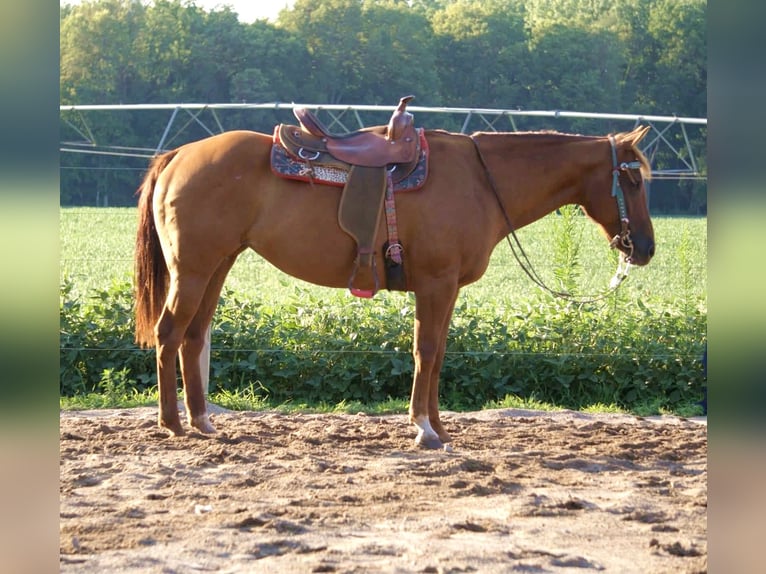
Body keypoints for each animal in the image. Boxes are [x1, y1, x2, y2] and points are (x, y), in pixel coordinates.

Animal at [134, 125, 654, 449]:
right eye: (631, 180)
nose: (645, 248)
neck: (481, 182)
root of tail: (178, 155)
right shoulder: (435, 284)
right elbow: (425, 351)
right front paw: (423, 428)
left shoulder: (448, 289)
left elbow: (439, 354)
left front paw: (440, 428)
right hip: (193, 269)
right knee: (169, 333)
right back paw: (172, 424)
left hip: (217, 266)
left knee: (194, 337)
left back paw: (202, 421)